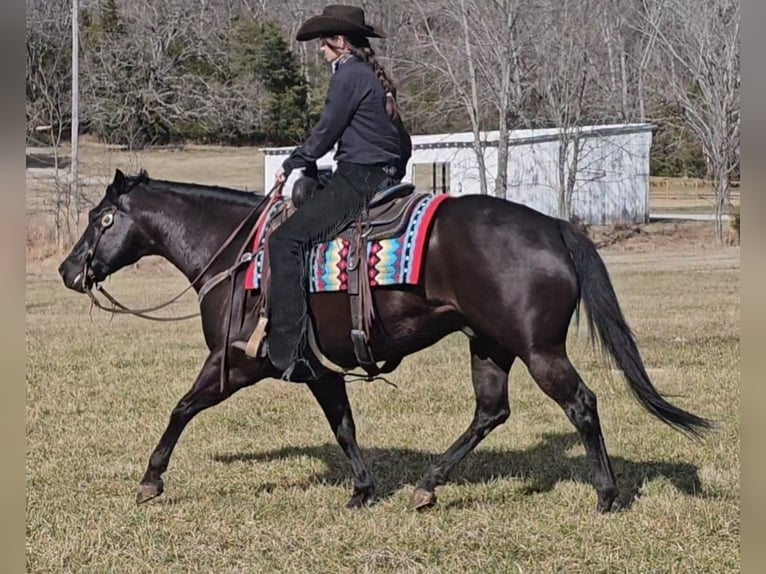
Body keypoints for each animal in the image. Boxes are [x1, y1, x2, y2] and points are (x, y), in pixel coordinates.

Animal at [58, 168, 711, 513]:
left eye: (98, 219)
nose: (68, 270)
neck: (237, 251)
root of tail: (553, 226)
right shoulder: (317, 369)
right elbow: (344, 425)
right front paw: (364, 489)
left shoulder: (237, 363)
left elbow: (182, 408)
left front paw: (151, 479)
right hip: (490, 344)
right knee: (490, 411)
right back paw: (427, 486)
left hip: (539, 350)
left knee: (581, 405)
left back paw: (606, 494)